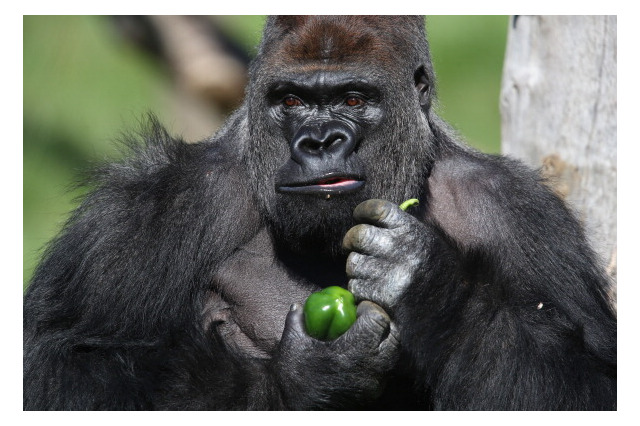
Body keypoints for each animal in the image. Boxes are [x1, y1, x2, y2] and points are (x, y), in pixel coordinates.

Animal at [23, 15, 616, 410]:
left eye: (353, 99)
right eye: (291, 100)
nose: (319, 141)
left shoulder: (522, 214)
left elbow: (586, 380)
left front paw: (422, 276)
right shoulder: (149, 206)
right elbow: (58, 366)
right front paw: (305, 377)